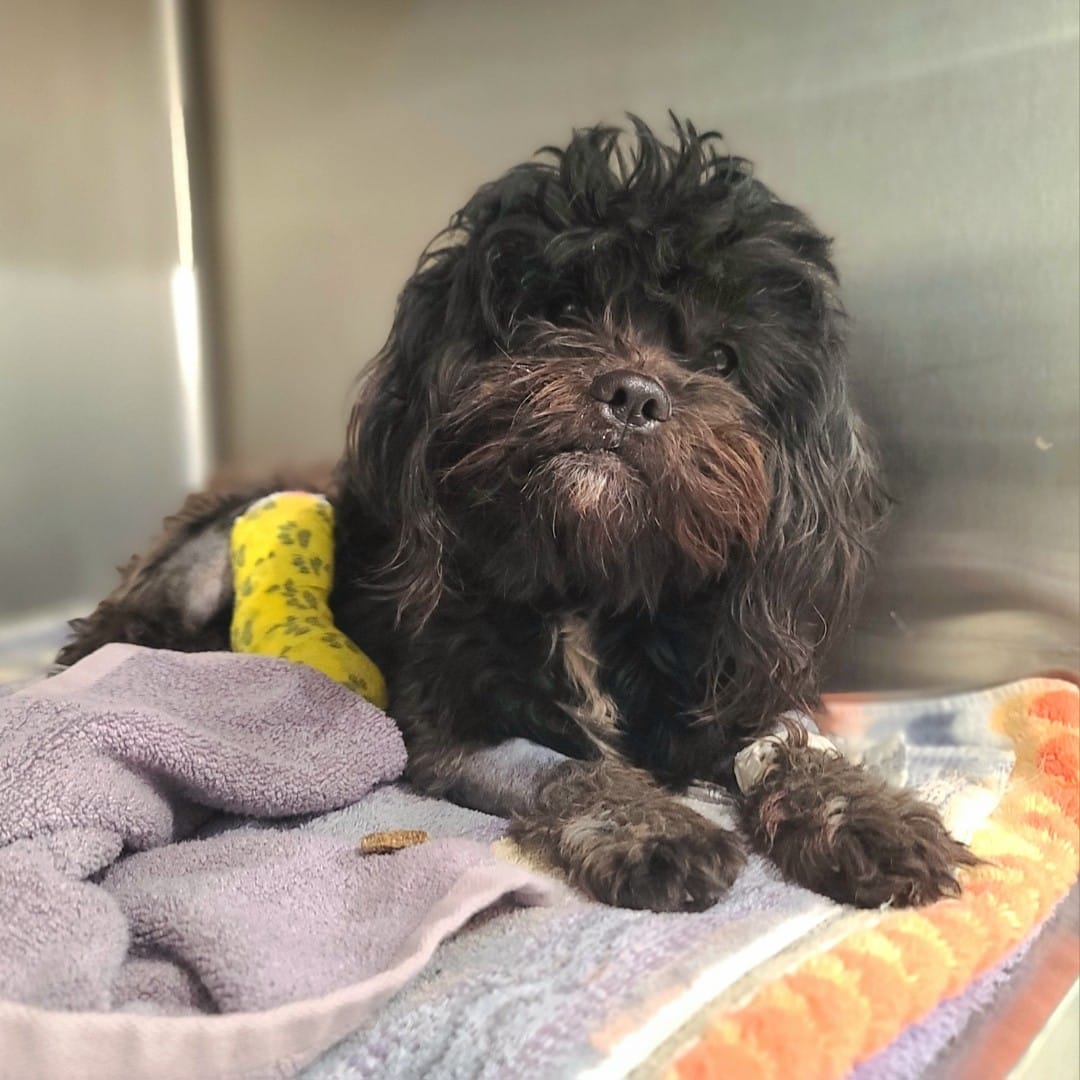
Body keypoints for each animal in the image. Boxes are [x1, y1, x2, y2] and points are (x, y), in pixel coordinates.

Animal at [59, 118, 976, 911]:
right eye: (561, 311)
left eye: (721, 358)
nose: (634, 394)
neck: (592, 582)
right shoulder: (454, 729)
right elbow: (567, 767)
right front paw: (654, 830)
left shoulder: (725, 686)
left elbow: (788, 745)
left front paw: (867, 814)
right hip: (215, 542)